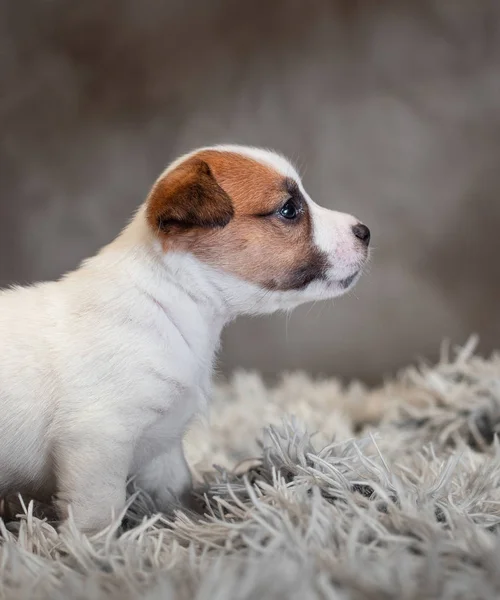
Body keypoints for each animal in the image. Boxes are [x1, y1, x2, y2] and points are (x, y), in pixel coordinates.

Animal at [0, 146, 370, 536]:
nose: (365, 231)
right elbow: (100, 514)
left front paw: (191, 523)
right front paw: (92, 548)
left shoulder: (163, 448)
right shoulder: (97, 442)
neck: (170, 301)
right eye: (289, 209)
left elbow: (176, 492)